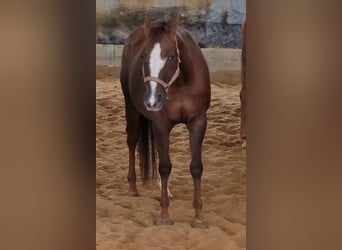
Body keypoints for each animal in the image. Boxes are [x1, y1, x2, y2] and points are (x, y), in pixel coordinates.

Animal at [120, 14, 211, 229]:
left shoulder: (198, 122)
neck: (181, 82)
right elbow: (164, 166)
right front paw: (164, 215)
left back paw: (165, 189)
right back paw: (133, 187)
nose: (152, 100)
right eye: (144, 56)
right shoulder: (160, 123)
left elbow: (196, 167)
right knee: (132, 142)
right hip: (131, 108)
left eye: (171, 57)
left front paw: (199, 216)